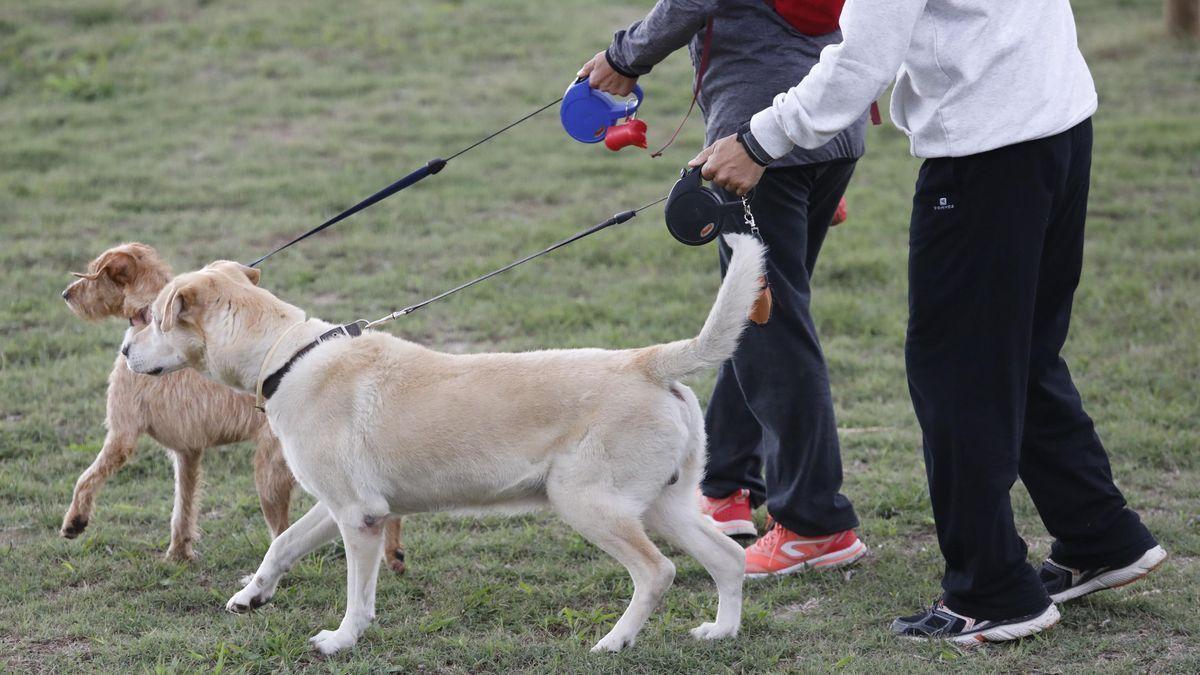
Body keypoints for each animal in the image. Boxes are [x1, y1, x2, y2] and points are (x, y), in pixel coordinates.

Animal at [59, 241, 408, 566]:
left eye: (93, 274)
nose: (64, 294)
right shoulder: (188, 453)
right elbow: (183, 507)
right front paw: (178, 553)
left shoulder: (122, 435)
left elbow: (86, 477)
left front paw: (75, 521)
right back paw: (394, 555)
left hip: (270, 476)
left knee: (282, 535)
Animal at [119, 233, 758, 653]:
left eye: (152, 318)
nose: (124, 353)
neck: (284, 355)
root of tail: (646, 362)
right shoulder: (337, 507)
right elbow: (281, 546)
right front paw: (251, 597)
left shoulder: (359, 518)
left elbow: (357, 595)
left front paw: (341, 640)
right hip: (666, 505)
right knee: (729, 558)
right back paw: (721, 632)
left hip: (591, 505)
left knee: (657, 573)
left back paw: (613, 642)